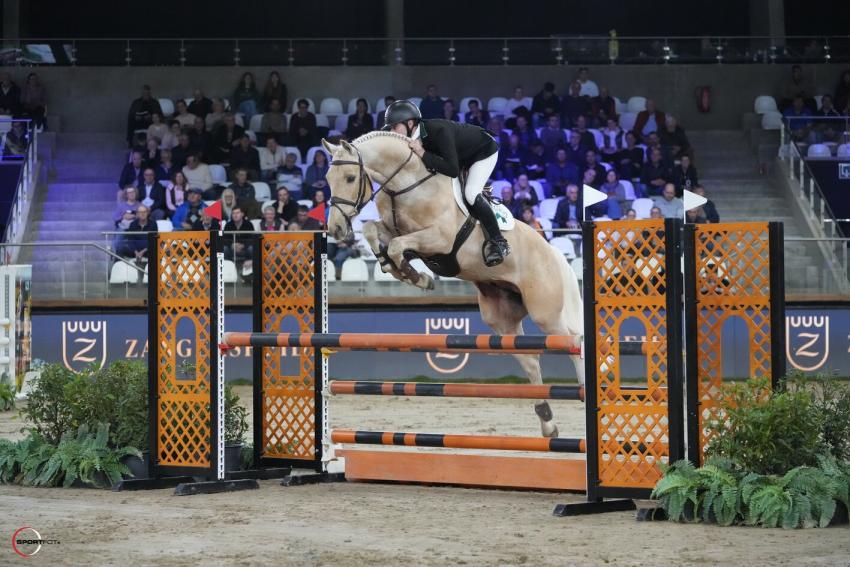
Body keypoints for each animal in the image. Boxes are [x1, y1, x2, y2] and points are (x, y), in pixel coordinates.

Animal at [321, 132, 584, 437]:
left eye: (350, 177)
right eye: (328, 178)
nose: (336, 229)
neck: (406, 183)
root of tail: (552, 251)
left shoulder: (440, 238)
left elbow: (397, 245)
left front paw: (414, 275)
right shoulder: (398, 232)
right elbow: (373, 230)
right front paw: (399, 269)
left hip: (546, 312)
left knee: (572, 343)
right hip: (501, 318)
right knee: (530, 361)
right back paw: (547, 423)